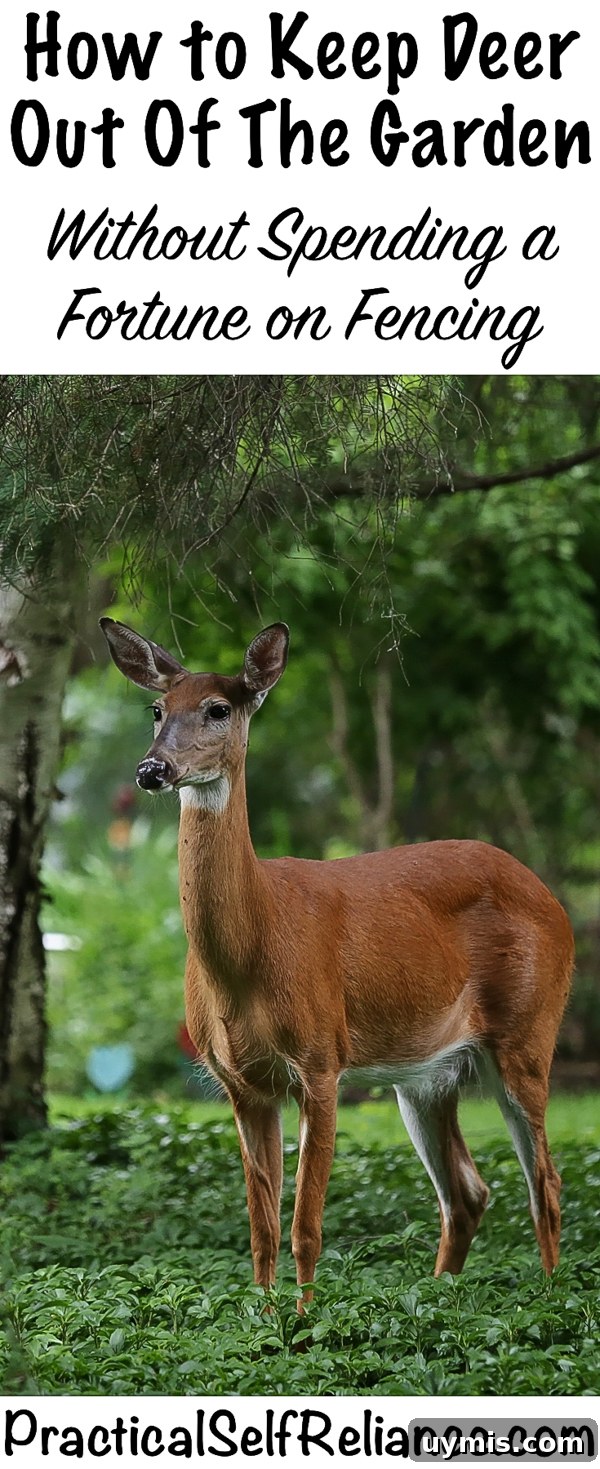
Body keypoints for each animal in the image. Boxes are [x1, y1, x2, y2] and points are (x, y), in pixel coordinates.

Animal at [100, 617, 574, 1301]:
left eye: (218, 708)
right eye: (157, 709)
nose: (152, 769)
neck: (251, 955)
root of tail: (553, 900)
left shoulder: (321, 1058)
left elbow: (306, 1227)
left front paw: (303, 1320)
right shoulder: (240, 1082)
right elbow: (262, 1229)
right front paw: (265, 1319)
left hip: (529, 1030)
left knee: (546, 1184)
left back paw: (548, 1298)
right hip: (427, 1075)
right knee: (467, 1193)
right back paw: (439, 1300)